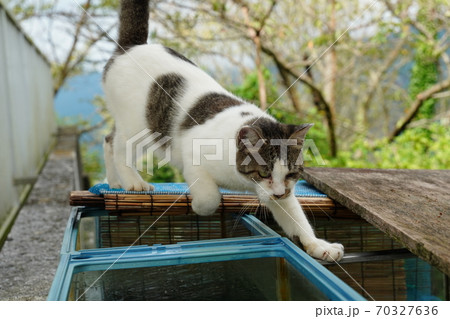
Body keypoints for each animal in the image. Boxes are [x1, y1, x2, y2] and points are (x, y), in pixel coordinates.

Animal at [103, 0, 344, 262]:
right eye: (264, 173)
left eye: (291, 174)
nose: (279, 194)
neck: (241, 179)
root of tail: (131, 47)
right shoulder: (193, 154)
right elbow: (210, 197)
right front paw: (198, 206)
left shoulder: (281, 193)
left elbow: (297, 219)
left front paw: (319, 245)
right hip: (137, 126)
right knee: (119, 148)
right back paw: (132, 182)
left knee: (108, 139)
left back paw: (114, 181)